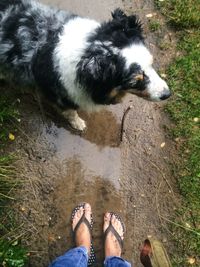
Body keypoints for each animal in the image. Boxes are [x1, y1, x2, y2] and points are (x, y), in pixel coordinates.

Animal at [0, 0, 170, 131]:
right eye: (135, 81)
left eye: (151, 63)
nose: (167, 94)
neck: (85, 50)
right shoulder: (60, 94)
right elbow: (70, 112)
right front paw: (78, 124)